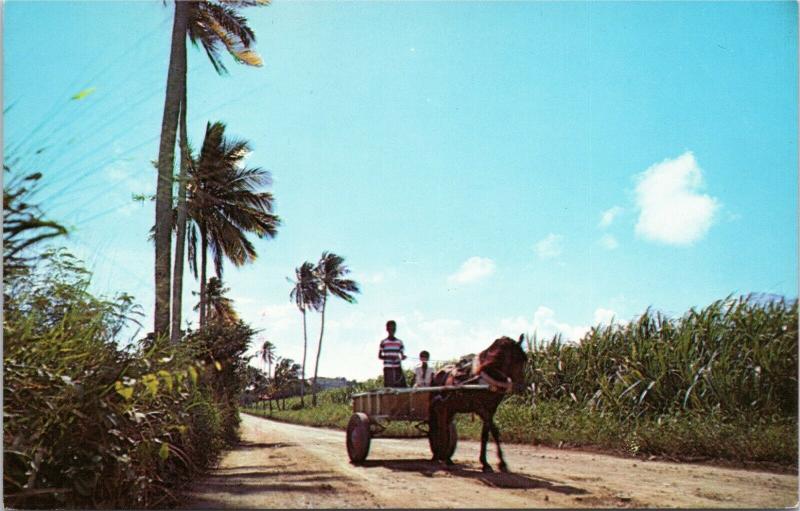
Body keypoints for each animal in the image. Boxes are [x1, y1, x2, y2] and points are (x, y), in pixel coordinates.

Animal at [428, 334, 528, 474]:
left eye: (524, 359)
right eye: (516, 359)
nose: (521, 387)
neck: (487, 377)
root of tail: (437, 373)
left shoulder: (491, 409)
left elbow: (486, 434)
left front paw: (487, 463)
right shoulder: (480, 408)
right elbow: (495, 430)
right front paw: (500, 463)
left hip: (450, 407)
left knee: (445, 426)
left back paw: (446, 457)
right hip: (441, 407)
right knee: (441, 427)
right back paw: (444, 458)